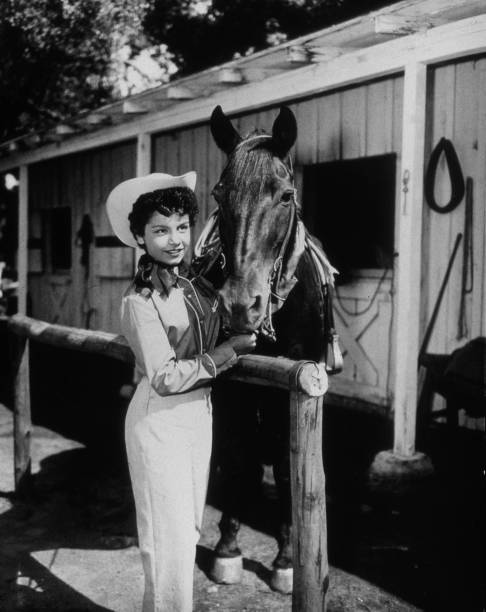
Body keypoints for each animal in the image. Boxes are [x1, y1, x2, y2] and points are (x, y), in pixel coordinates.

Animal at [196, 105, 340, 592]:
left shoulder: (293, 388)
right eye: (219, 194)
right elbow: (239, 456)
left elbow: (283, 464)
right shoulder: (235, 387)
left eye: (285, 195)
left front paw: (286, 560)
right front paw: (227, 549)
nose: (241, 304)